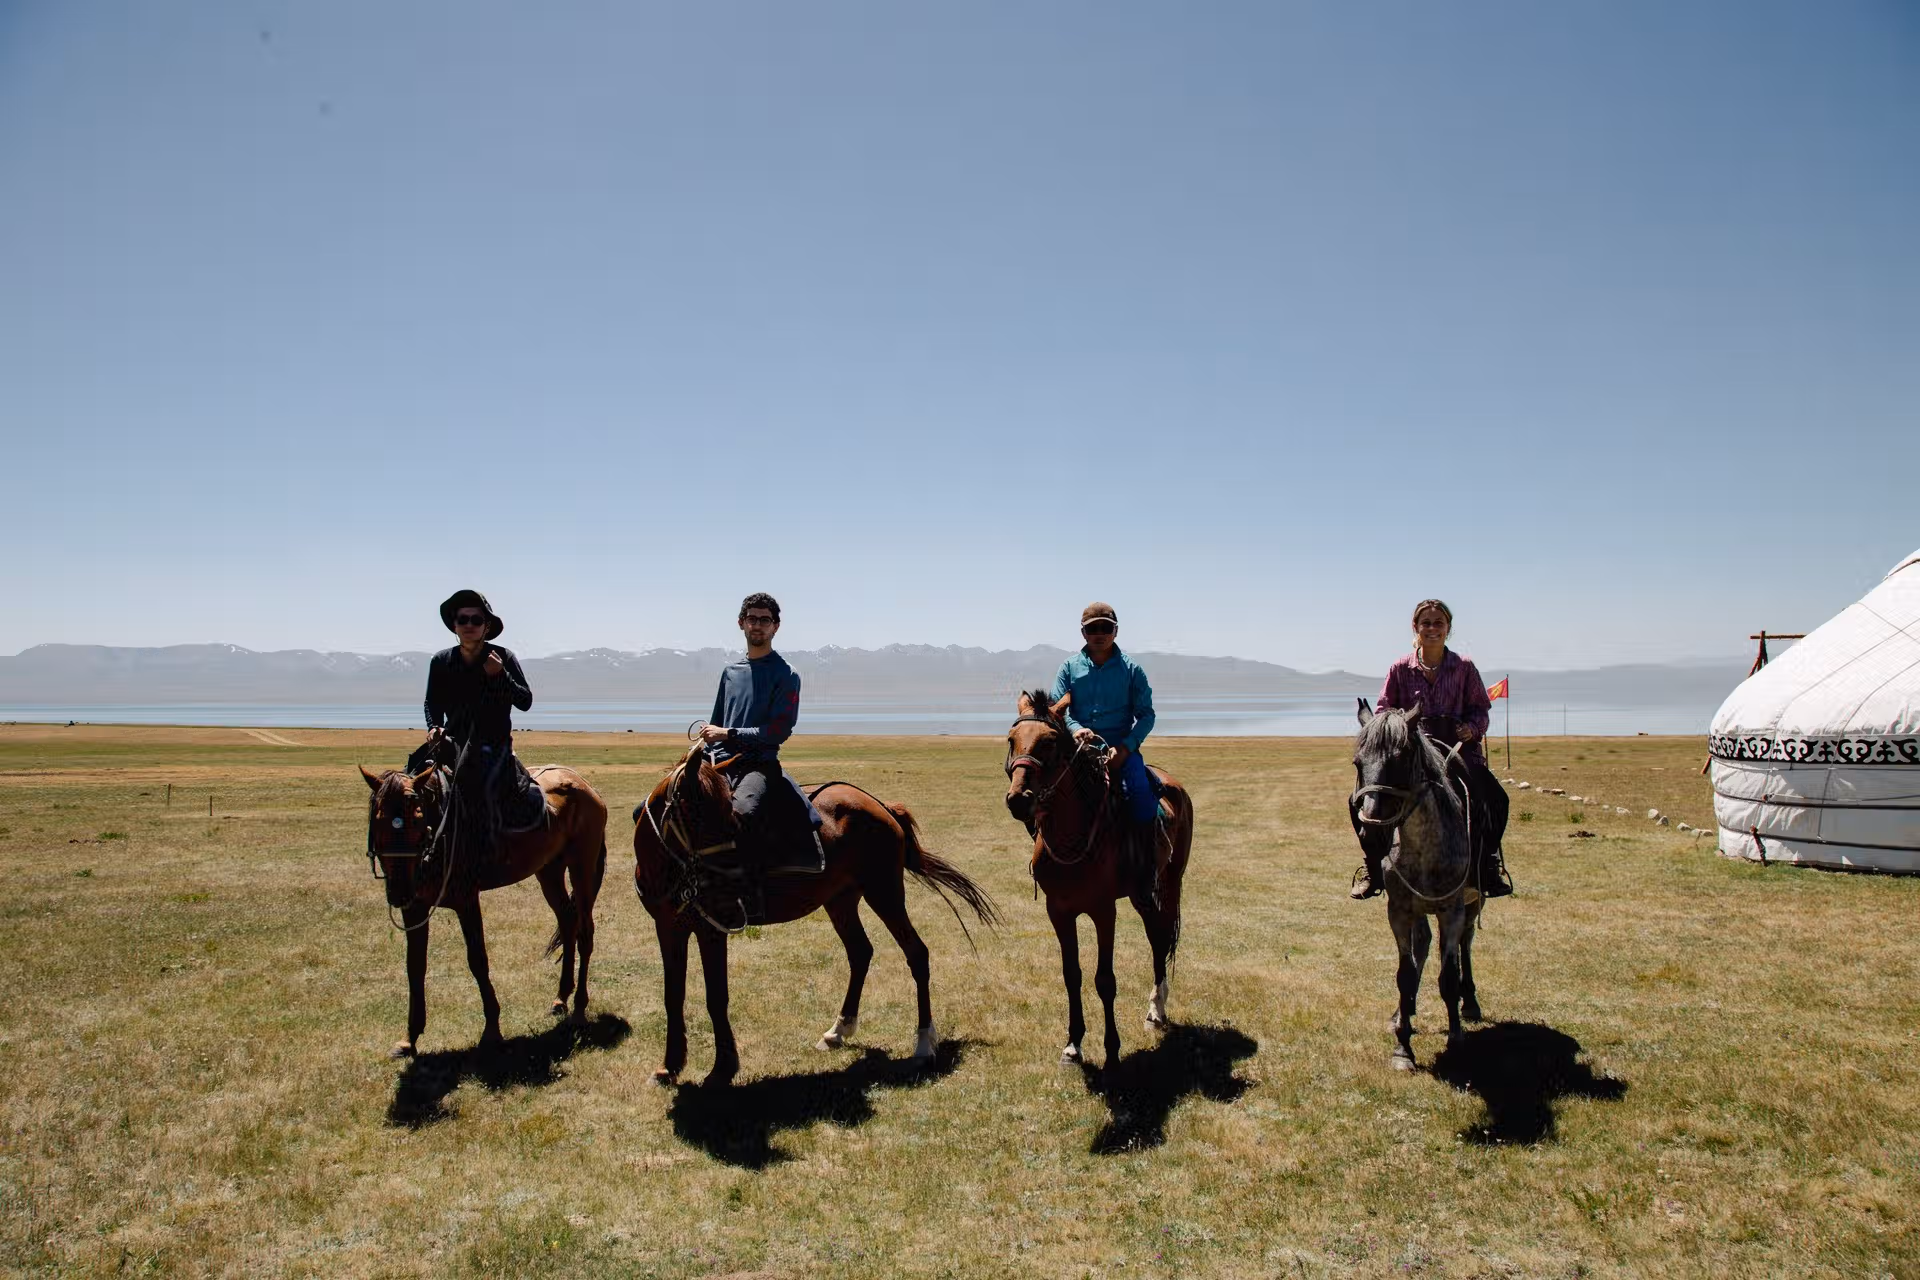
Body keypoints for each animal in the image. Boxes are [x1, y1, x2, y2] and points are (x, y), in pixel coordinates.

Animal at [360, 736, 609, 1058]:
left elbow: (477, 959)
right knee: (568, 921)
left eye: (418, 820)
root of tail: (586, 785)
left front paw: (491, 1030)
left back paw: (578, 1009)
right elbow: (415, 965)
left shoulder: (466, 899)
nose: (399, 890)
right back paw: (560, 998)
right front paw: (410, 1037)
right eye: (378, 821)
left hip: (582, 867)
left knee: (585, 931)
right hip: (549, 870)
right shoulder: (415, 908)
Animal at [633, 743, 1001, 1086]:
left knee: (916, 953)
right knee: (860, 952)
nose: (730, 894)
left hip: (885, 892)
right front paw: (668, 1067)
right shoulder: (668, 926)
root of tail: (882, 806)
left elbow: (716, 996)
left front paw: (722, 1069)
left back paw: (924, 1043)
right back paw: (838, 1031)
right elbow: (673, 994)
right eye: (696, 816)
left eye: (732, 816)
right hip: (841, 900)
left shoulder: (712, 928)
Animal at [1004, 691, 1194, 1069]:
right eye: (1011, 740)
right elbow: (1071, 975)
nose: (1019, 799)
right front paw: (1073, 1044)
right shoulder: (1059, 910)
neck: (1072, 835)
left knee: (1160, 939)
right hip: (1140, 895)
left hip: (1168, 884)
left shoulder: (1104, 911)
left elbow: (1104, 980)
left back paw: (1157, 1010)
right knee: (1156, 935)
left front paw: (1112, 1050)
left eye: (1049, 742)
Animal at [1351, 699, 1484, 1070]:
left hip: (1473, 903)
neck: (1423, 846)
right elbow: (1405, 973)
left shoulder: (1452, 910)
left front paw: (1455, 1040)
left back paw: (1470, 1004)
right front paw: (1402, 1046)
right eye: (1358, 763)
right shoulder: (1397, 909)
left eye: (1399, 760)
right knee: (1422, 944)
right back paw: (1404, 1010)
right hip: (1419, 908)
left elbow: (1449, 976)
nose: (1371, 832)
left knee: (1466, 943)